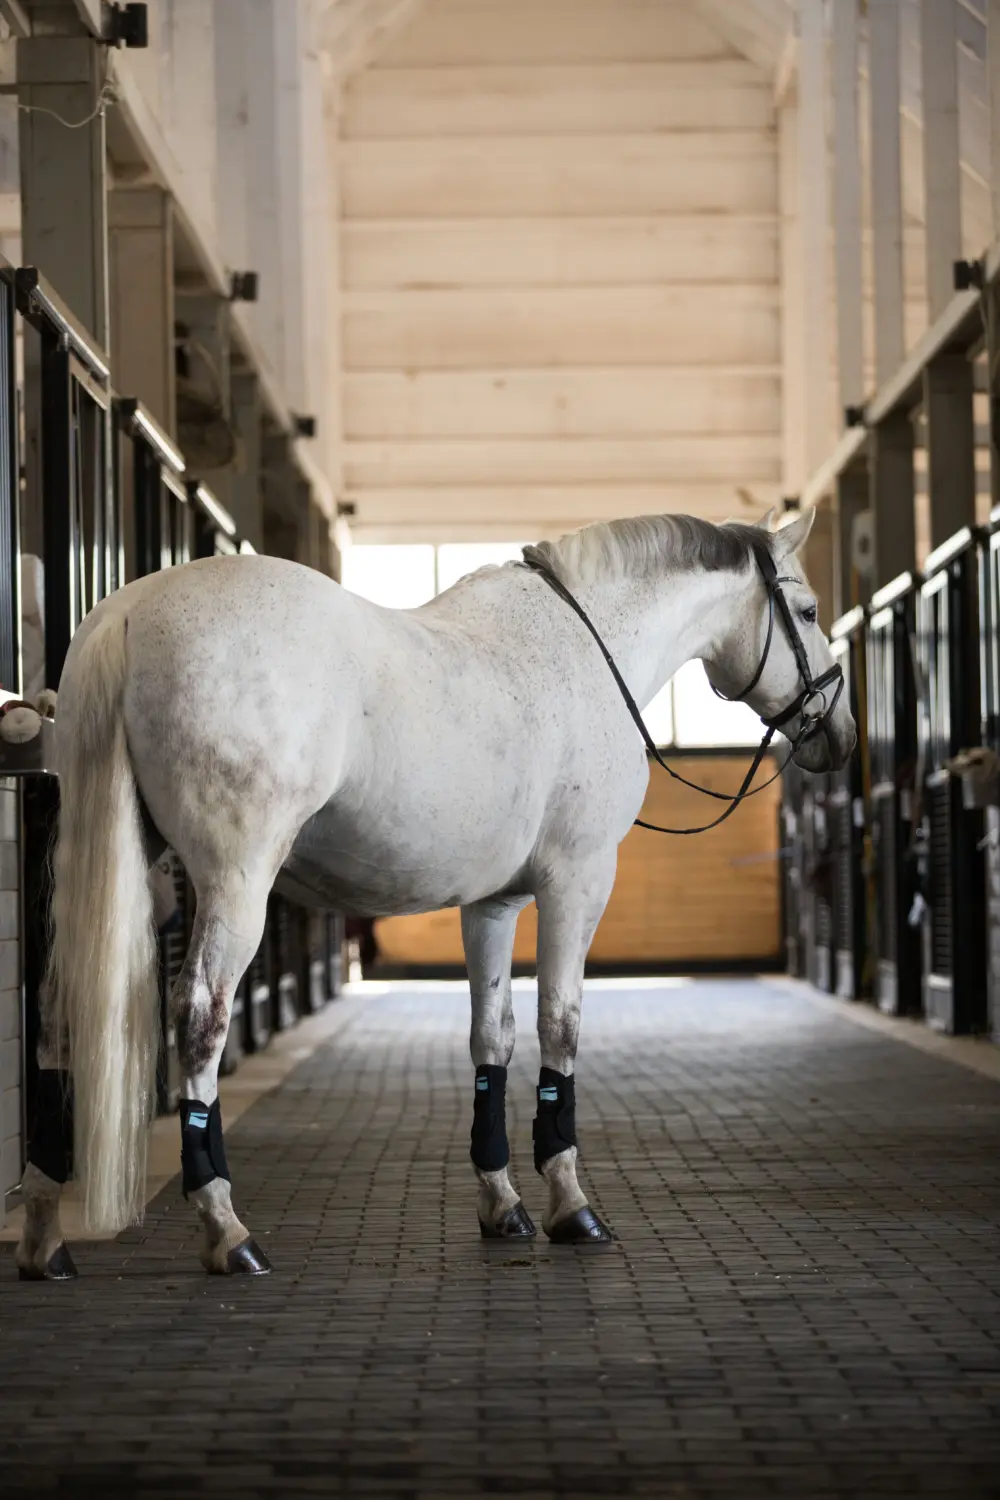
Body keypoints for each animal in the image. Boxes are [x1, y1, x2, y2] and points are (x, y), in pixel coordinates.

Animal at [15, 507, 855, 1280]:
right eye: (811, 611)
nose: (839, 735)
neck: (588, 648)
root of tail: (130, 614)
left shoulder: (493, 903)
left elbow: (493, 1038)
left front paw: (503, 1203)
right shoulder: (577, 880)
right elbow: (560, 1029)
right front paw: (571, 1205)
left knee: (59, 1015)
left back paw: (46, 1235)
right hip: (234, 880)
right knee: (199, 1019)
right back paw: (227, 1230)